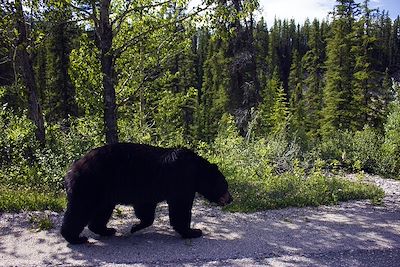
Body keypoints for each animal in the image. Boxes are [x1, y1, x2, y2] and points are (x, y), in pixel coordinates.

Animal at [61, 143, 233, 246]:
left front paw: (135, 226)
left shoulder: (147, 191)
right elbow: (180, 208)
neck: (197, 172)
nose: (230, 199)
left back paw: (107, 230)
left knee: (101, 212)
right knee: (80, 211)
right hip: (90, 186)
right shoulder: (182, 181)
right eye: (225, 185)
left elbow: (146, 209)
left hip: (104, 193)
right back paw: (75, 237)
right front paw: (193, 231)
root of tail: (71, 169)